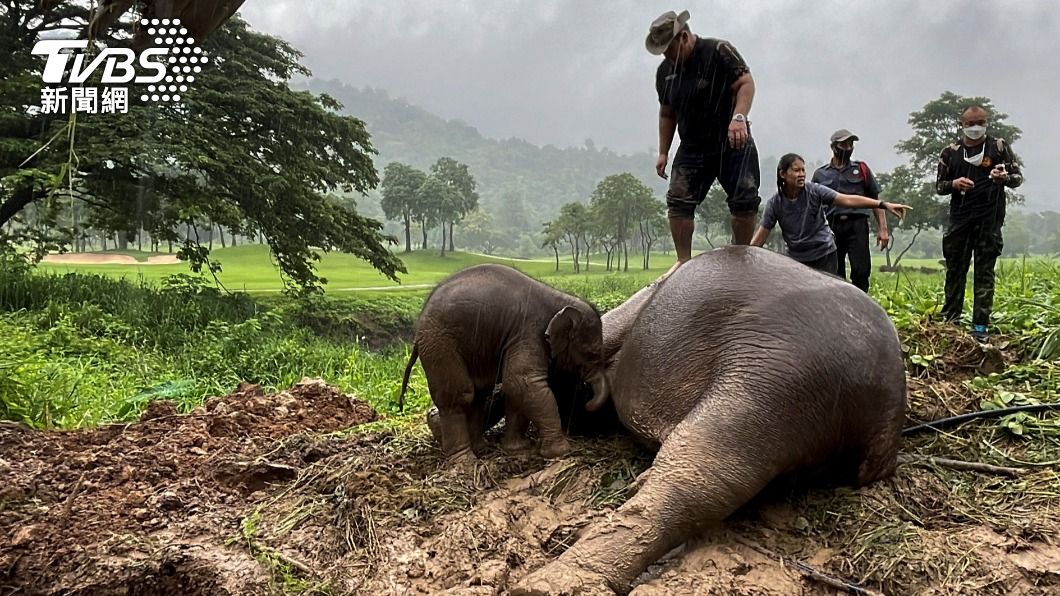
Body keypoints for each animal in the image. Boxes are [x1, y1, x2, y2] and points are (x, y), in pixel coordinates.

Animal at [398, 264, 610, 465]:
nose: (587, 402)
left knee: (478, 394)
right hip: (440, 343)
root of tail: (417, 330)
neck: (559, 298)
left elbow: (515, 389)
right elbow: (521, 383)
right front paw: (560, 452)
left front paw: (518, 450)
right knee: (460, 395)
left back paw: (481, 449)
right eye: (592, 354)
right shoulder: (529, 332)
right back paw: (465, 462)